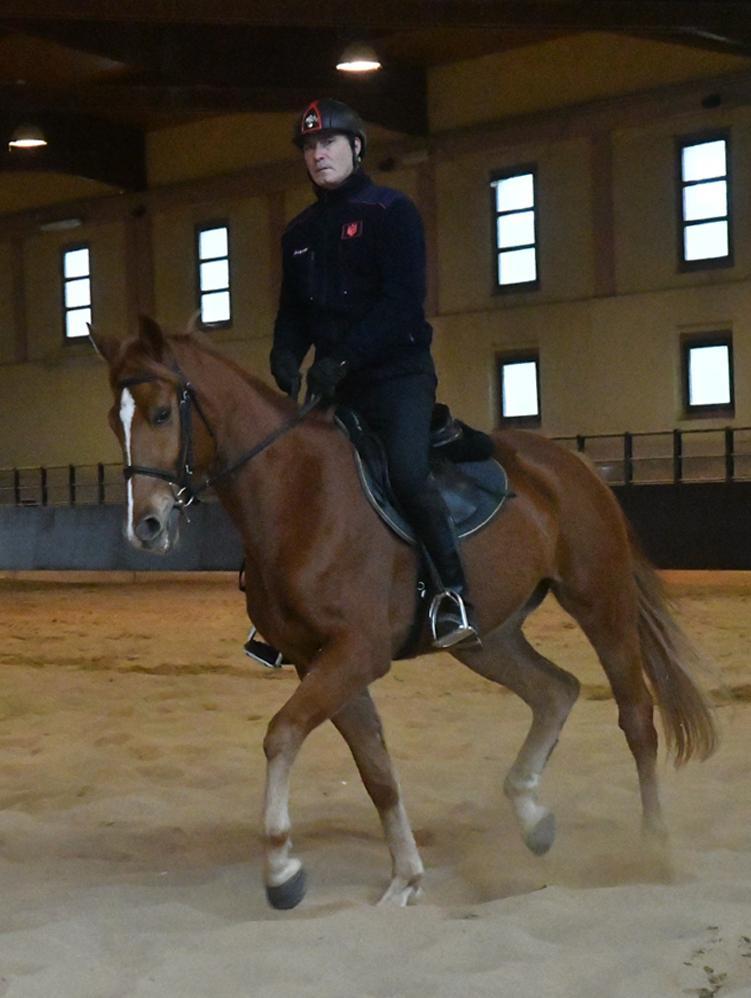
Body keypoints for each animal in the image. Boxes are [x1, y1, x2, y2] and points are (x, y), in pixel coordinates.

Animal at [91, 317, 717, 910]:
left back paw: (653, 849)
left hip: (600, 602)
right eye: (114, 422)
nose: (145, 527)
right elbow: (377, 772)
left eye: (162, 413)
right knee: (555, 690)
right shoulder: (316, 659)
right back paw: (533, 817)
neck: (301, 494)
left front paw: (282, 870)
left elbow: (282, 734)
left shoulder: (357, 652)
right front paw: (405, 879)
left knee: (636, 718)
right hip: (487, 638)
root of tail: (574, 464)